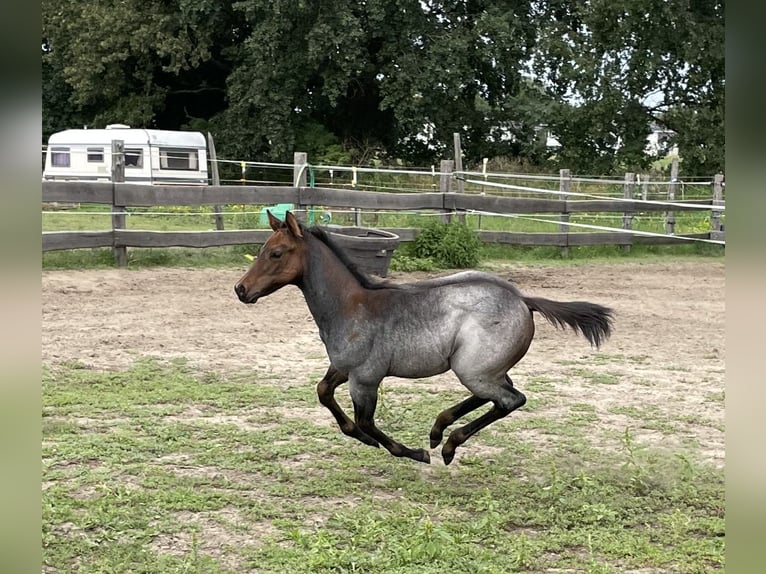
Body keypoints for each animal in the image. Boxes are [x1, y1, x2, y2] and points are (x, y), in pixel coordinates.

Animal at [236, 212, 616, 468]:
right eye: (263, 249)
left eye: (276, 253)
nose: (241, 289)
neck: (350, 305)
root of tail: (524, 300)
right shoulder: (342, 368)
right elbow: (325, 395)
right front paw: (368, 440)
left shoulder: (365, 379)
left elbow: (366, 422)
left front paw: (412, 452)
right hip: (484, 369)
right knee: (496, 395)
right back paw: (438, 431)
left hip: (473, 370)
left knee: (510, 400)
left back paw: (445, 446)